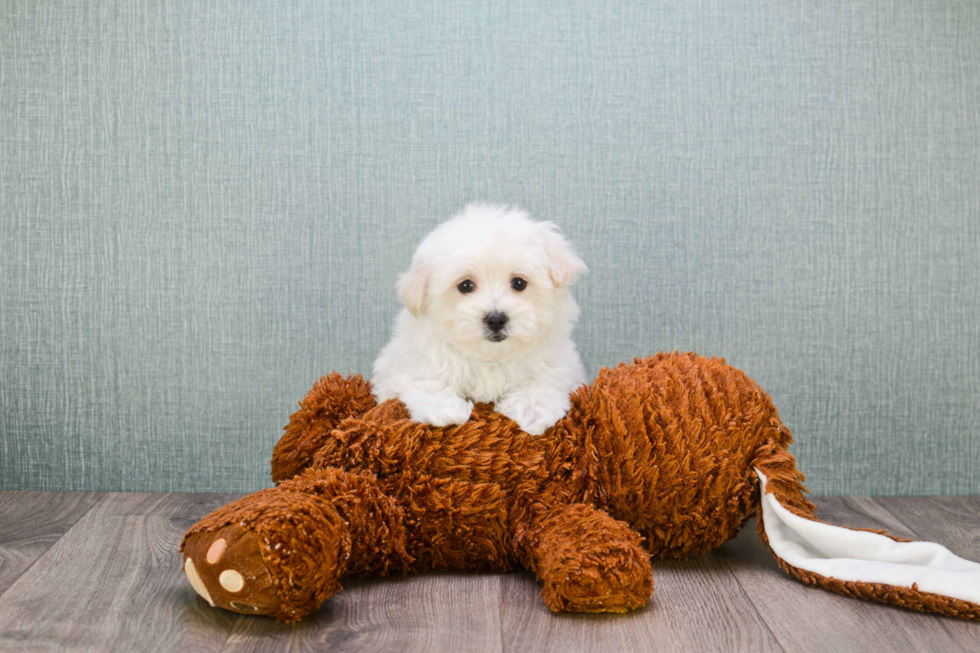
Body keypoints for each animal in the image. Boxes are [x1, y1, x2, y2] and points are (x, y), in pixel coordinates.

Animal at [374, 201, 588, 436]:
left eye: (519, 283)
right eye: (466, 285)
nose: (496, 319)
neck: (491, 357)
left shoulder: (559, 365)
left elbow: (546, 380)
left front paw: (532, 409)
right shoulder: (407, 364)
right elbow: (425, 381)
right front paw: (445, 410)